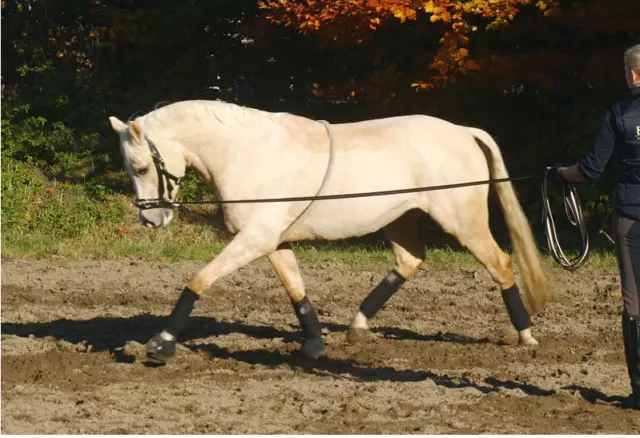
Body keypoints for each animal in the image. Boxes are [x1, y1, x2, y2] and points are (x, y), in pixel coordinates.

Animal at [109, 100, 552, 362]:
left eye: (143, 168)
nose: (150, 220)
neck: (248, 153)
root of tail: (463, 131)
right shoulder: (273, 241)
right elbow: (296, 290)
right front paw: (314, 344)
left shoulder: (254, 239)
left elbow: (199, 280)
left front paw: (161, 342)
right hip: (401, 217)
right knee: (409, 260)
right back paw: (357, 327)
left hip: (463, 221)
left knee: (501, 263)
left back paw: (526, 336)